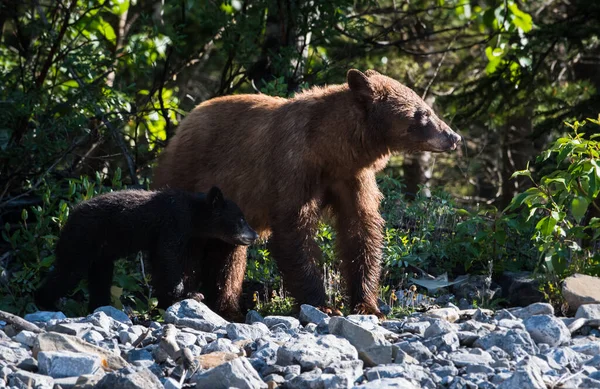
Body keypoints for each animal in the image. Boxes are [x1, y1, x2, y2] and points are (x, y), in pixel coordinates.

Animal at [34, 187, 256, 312]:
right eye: (241, 219)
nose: (254, 235)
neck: (194, 214)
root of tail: (68, 216)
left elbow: (160, 261)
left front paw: (167, 299)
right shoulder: (174, 223)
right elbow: (170, 259)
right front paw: (188, 294)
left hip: (101, 253)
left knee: (100, 277)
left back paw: (100, 305)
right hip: (83, 238)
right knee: (69, 270)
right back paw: (45, 301)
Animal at [152, 69, 462, 318]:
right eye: (422, 113)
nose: (454, 136)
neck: (330, 150)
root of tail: (180, 128)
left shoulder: (352, 178)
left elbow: (360, 230)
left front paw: (368, 304)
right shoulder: (292, 166)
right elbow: (294, 230)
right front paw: (322, 304)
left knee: (228, 255)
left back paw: (226, 306)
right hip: (189, 182)